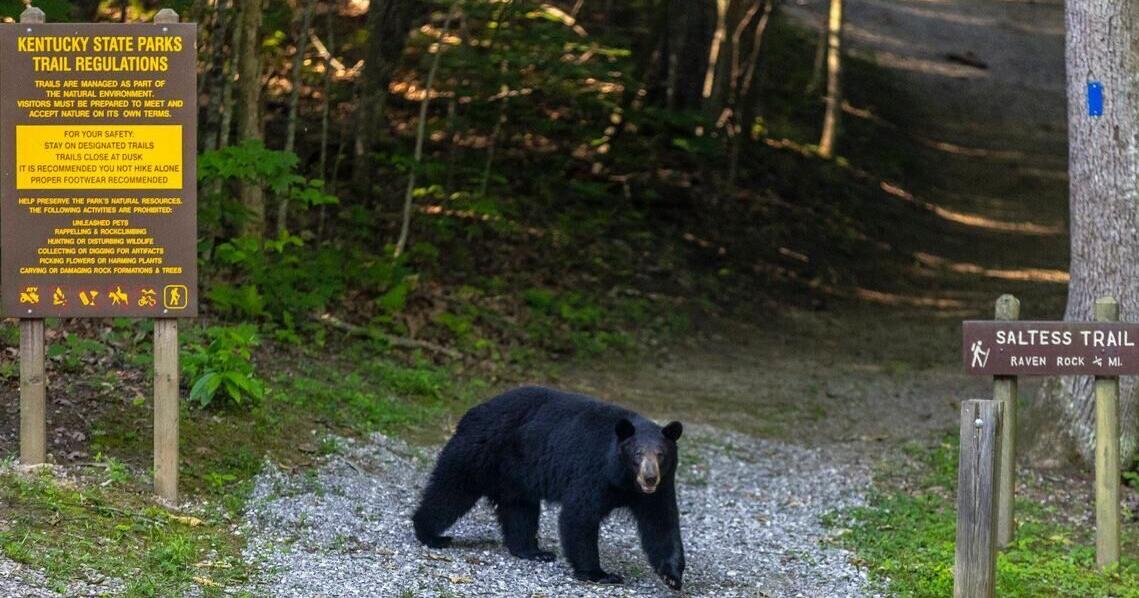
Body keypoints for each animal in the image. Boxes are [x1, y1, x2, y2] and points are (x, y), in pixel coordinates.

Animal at [412, 386, 685, 590]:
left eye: (660, 454)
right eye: (637, 454)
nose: (649, 478)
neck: (624, 480)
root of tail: (473, 410)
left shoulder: (660, 487)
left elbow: (661, 523)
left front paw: (672, 575)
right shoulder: (593, 471)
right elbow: (579, 515)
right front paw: (599, 573)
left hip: (515, 473)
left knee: (520, 511)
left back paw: (533, 551)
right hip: (480, 452)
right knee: (451, 491)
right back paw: (430, 534)